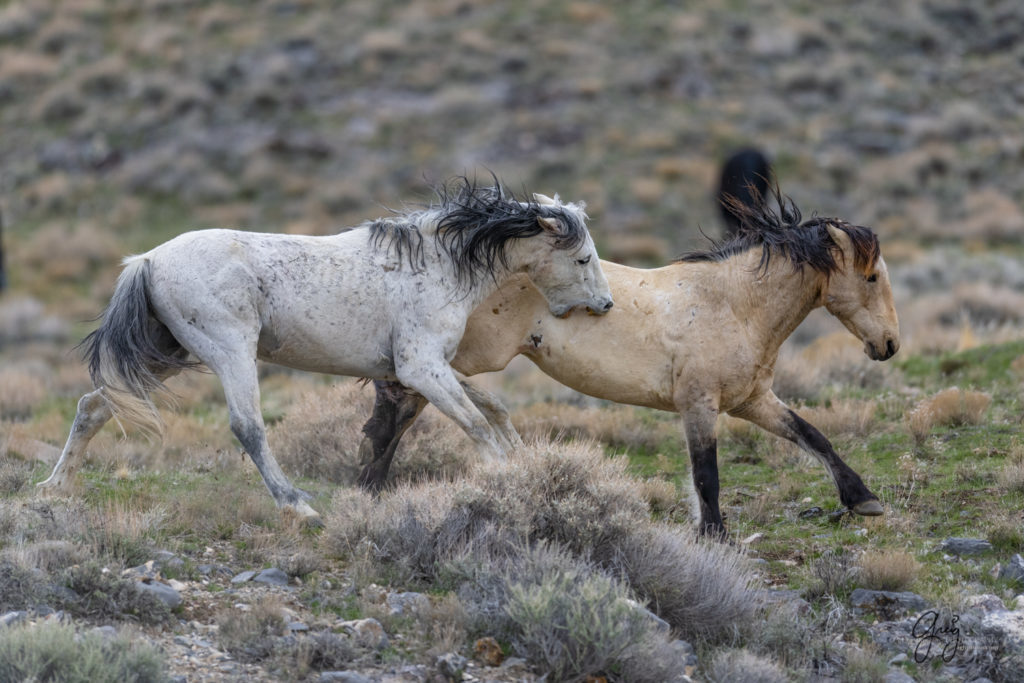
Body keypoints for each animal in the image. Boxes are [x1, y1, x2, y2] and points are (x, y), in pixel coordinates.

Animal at [39, 180, 610, 524]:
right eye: (583, 258)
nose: (604, 305)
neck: (439, 264)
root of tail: (148, 259)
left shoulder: (419, 370)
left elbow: (493, 408)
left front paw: (520, 461)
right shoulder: (421, 367)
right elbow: (475, 424)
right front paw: (504, 480)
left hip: (169, 353)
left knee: (94, 405)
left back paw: (55, 486)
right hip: (228, 351)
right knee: (248, 426)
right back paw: (296, 505)